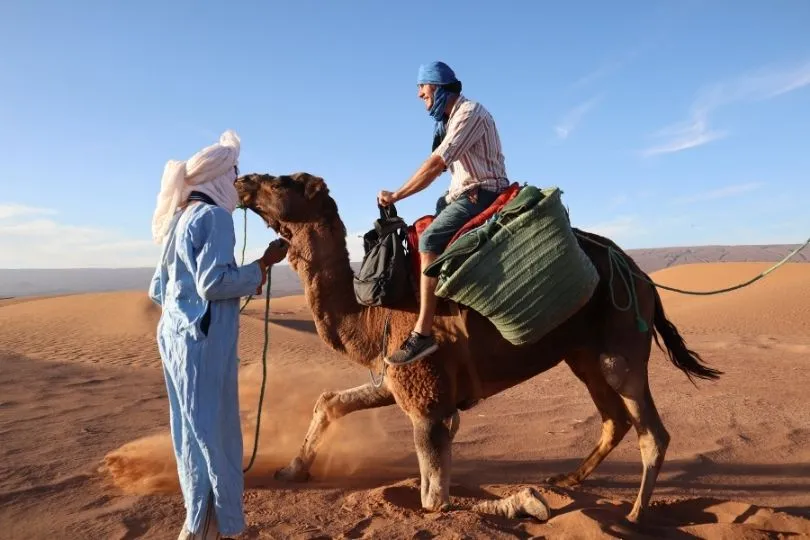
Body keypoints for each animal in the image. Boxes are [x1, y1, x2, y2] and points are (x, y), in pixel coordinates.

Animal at [234, 172, 720, 524]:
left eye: (282, 182)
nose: (243, 180)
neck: (373, 316)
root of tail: (643, 276)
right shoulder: (401, 379)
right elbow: (330, 401)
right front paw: (291, 470)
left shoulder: (427, 402)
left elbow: (435, 502)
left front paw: (528, 502)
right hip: (582, 353)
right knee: (614, 418)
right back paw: (568, 478)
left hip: (620, 346)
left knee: (651, 431)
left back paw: (635, 514)